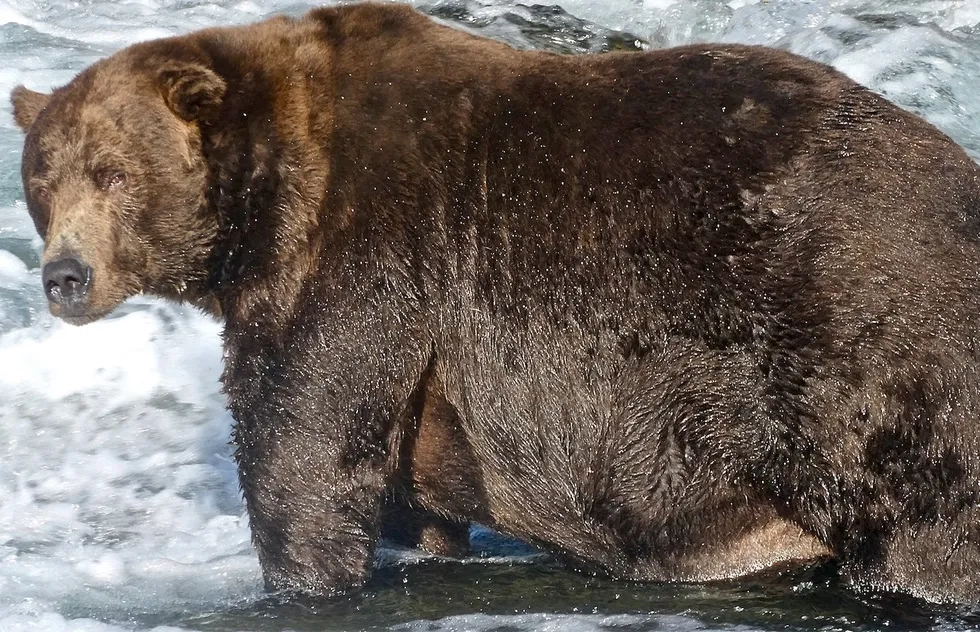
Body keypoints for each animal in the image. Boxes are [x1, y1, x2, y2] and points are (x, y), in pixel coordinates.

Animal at [11, 1, 980, 603]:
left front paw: (301, 578)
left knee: (924, 523)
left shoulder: (368, 250)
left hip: (859, 349)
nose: (64, 276)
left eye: (113, 170)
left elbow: (305, 446)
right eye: (42, 178)